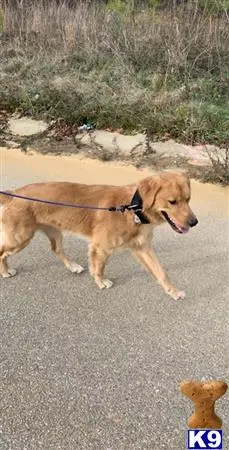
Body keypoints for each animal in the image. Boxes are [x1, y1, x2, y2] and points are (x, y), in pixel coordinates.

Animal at [0, 171, 197, 298]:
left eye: (188, 200)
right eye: (172, 202)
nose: (194, 222)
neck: (133, 208)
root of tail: (14, 193)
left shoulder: (143, 247)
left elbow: (161, 272)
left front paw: (173, 291)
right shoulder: (101, 247)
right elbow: (99, 267)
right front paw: (101, 282)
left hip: (54, 232)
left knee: (57, 250)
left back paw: (72, 266)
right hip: (20, 238)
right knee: (2, 253)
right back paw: (5, 271)